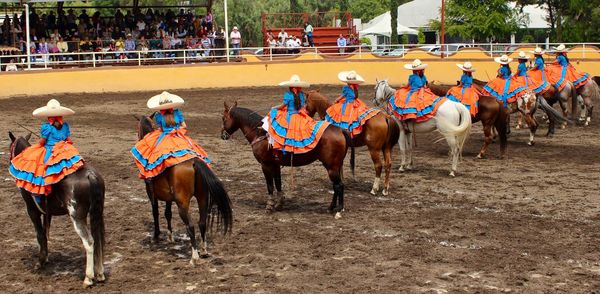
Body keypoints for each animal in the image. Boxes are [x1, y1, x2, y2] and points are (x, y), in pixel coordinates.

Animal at [9, 131, 105, 288]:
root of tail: (90, 175)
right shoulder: (47, 213)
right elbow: (45, 233)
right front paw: (46, 257)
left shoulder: (32, 210)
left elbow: (40, 235)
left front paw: (40, 262)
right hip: (97, 214)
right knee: (98, 240)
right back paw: (100, 274)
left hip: (77, 218)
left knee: (89, 242)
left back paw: (88, 278)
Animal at [136, 114, 232, 264]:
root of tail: (194, 162)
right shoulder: (168, 198)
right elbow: (167, 213)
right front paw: (170, 236)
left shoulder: (151, 193)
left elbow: (155, 212)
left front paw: (156, 235)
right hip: (202, 198)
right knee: (202, 223)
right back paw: (204, 251)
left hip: (183, 203)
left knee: (191, 226)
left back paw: (194, 257)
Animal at [221, 102, 350, 217]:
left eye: (223, 118)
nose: (222, 135)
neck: (260, 133)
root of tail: (340, 130)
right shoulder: (275, 165)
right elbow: (278, 183)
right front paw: (279, 204)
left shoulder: (265, 165)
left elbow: (270, 185)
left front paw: (269, 206)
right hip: (334, 167)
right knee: (336, 186)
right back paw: (331, 207)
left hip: (331, 167)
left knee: (339, 186)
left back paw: (339, 210)